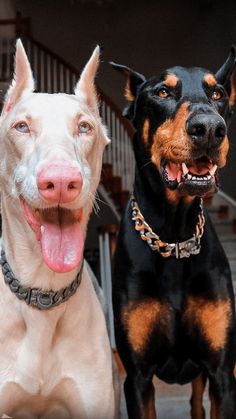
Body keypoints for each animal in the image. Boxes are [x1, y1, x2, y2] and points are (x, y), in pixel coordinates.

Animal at [111, 47, 236, 418]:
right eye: (162, 92)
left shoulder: (222, 372)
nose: (208, 128)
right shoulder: (137, 378)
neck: (174, 237)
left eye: (217, 94)